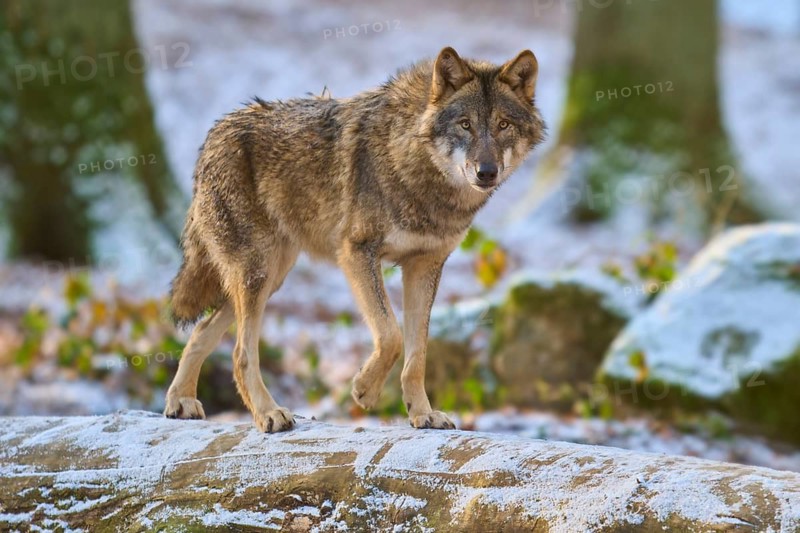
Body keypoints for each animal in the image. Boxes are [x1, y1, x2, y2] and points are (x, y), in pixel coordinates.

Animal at [164, 47, 545, 432]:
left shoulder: (425, 265)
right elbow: (391, 336)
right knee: (241, 353)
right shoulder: (357, 253)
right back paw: (269, 413)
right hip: (256, 274)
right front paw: (365, 389)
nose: (487, 172)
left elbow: (418, 352)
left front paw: (422, 413)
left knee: (201, 332)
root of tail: (214, 134)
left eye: (503, 125)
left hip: (270, 278)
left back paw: (180, 402)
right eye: (465, 124)